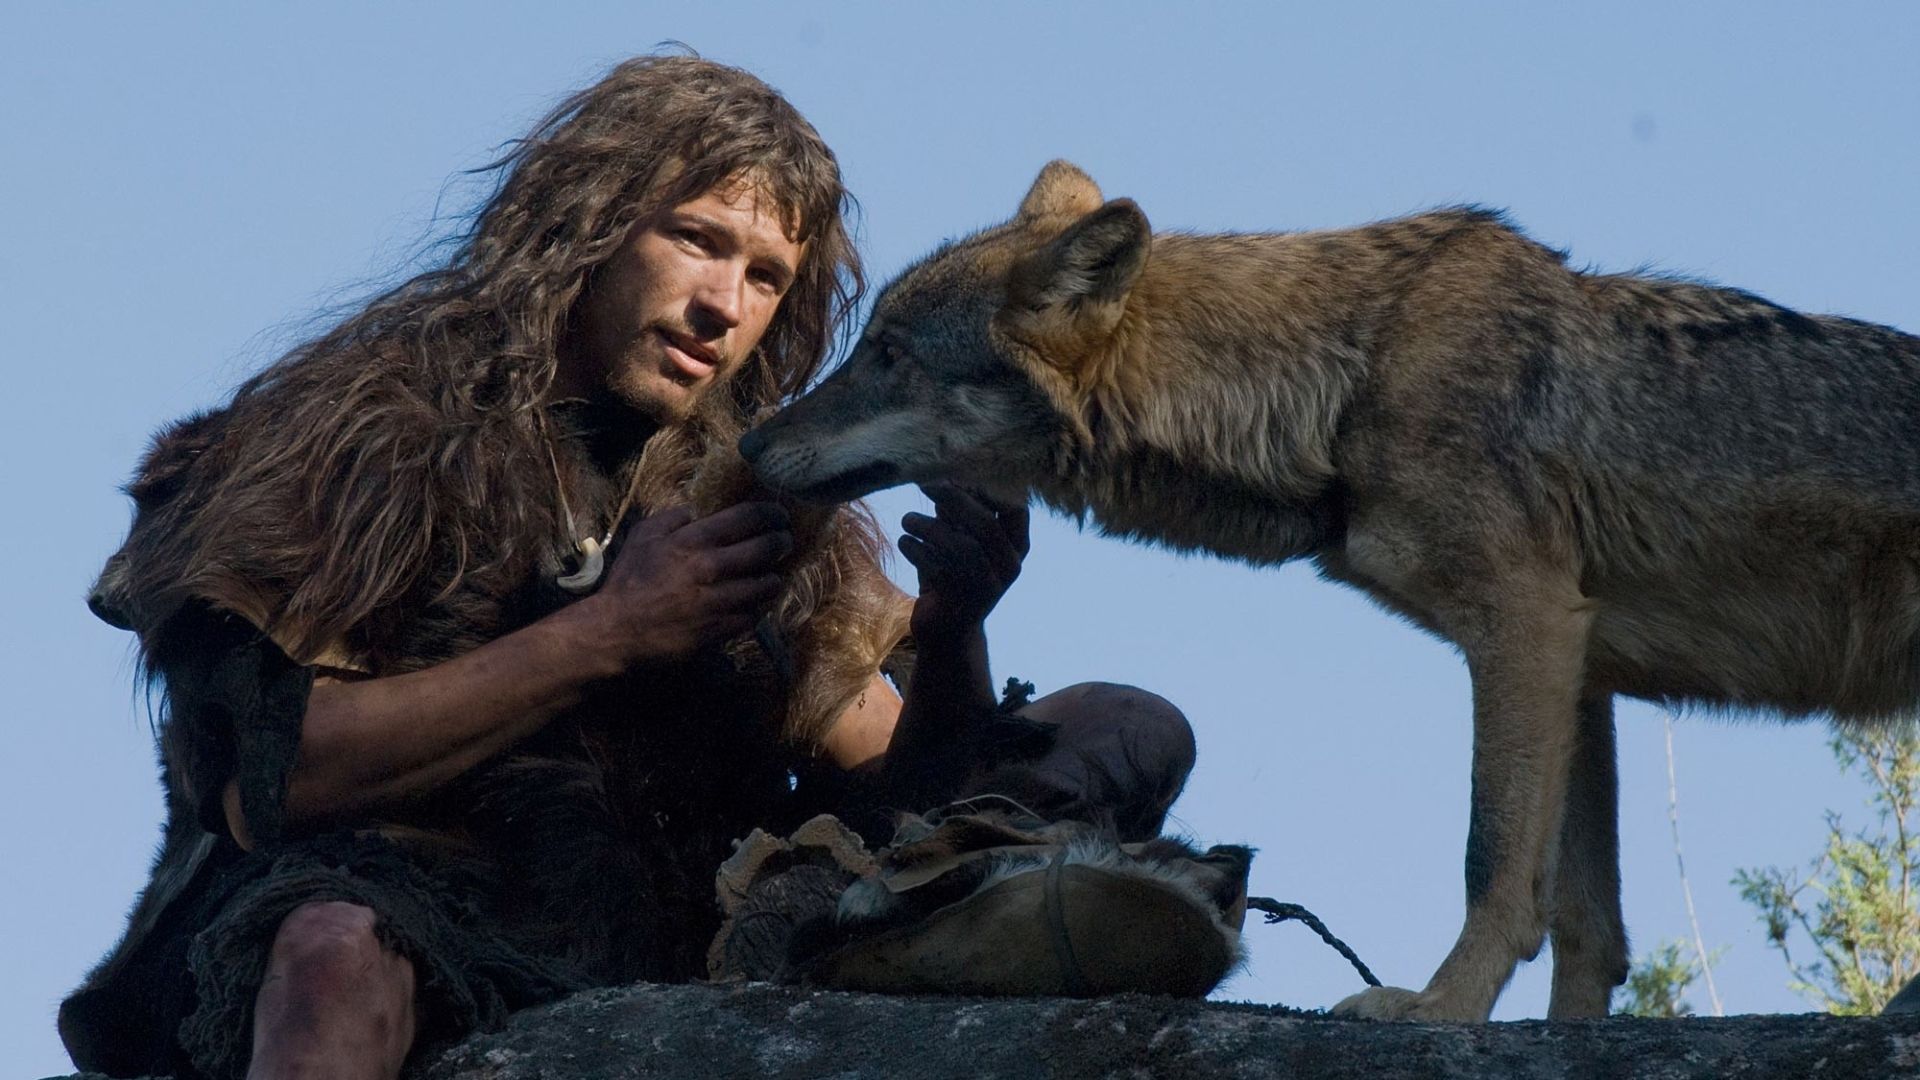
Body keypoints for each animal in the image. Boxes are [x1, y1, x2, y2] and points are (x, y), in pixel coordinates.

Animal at [738, 160, 1920, 1021]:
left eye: (889, 355)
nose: (750, 440)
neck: (1345, 382)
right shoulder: (1581, 661)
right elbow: (1587, 920)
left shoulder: (1526, 627)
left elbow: (1495, 865)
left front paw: (1438, 1013)